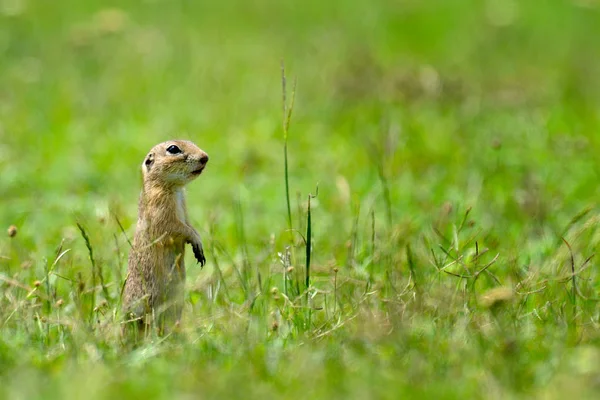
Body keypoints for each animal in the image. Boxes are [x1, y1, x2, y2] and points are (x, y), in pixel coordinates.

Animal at [122, 140, 209, 334]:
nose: (205, 157)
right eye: (173, 149)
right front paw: (196, 241)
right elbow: (174, 228)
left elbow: (189, 225)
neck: (175, 189)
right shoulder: (160, 207)